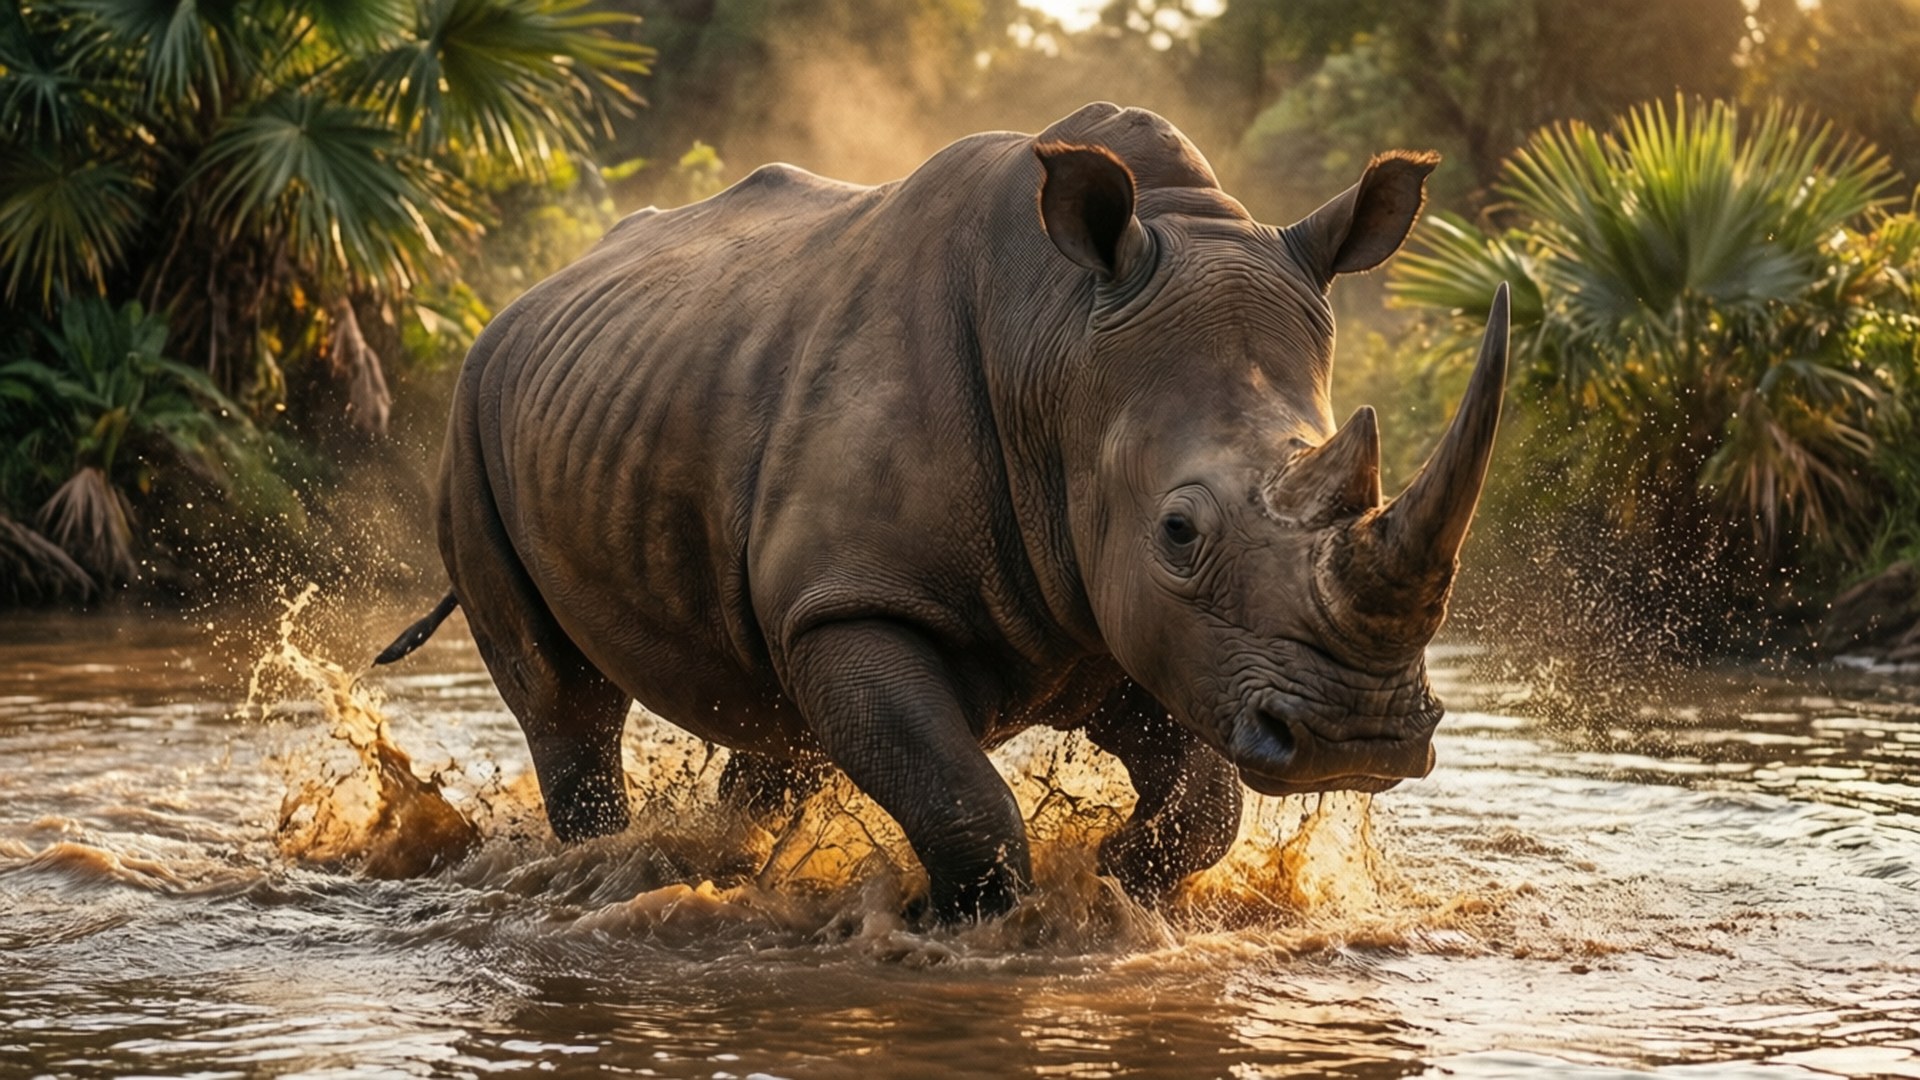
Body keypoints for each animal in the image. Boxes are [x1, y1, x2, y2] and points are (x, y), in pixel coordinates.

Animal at [377, 103, 1508, 921]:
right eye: (1180, 531)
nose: (1359, 738)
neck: (1058, 344)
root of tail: (529, 298)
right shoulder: (859, 599)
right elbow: (967, 806)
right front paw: (958, 923)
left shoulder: (1118, 618)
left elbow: (1205, 807)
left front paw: (1115, 874)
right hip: (470, 422)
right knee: (564, 699)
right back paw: (611, 866)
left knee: (775, 726)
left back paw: (730, 860)